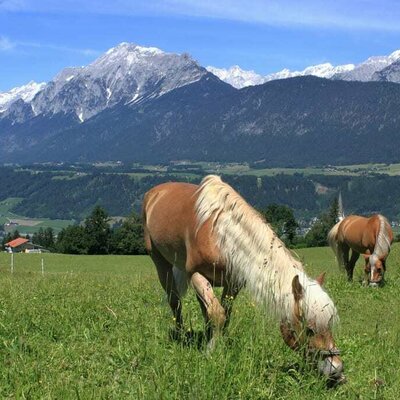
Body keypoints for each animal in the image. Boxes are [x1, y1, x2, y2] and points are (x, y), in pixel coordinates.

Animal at [143, 175, 344, 384]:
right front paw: (212, 350)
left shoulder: (233, 283)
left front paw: (219, 341)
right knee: (174, 301)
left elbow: (224, 314)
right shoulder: (196, 274)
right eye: (310, 329)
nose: (336, 370)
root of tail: (155, 193)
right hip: (160, 262)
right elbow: (218, 313)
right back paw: (182, 334)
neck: (220, 235)